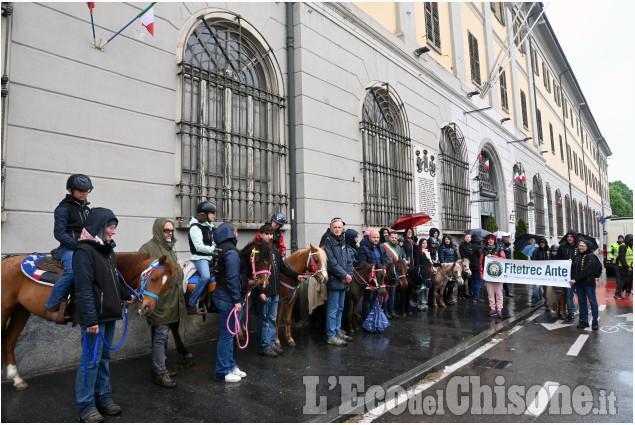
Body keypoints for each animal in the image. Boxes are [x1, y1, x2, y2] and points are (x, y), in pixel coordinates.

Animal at [1, 252, 179, 388]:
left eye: (166, 287)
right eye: (154, 278)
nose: (148, 308)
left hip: (21, 310)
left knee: (9, 340)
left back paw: (17, 379)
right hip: (5, 310)